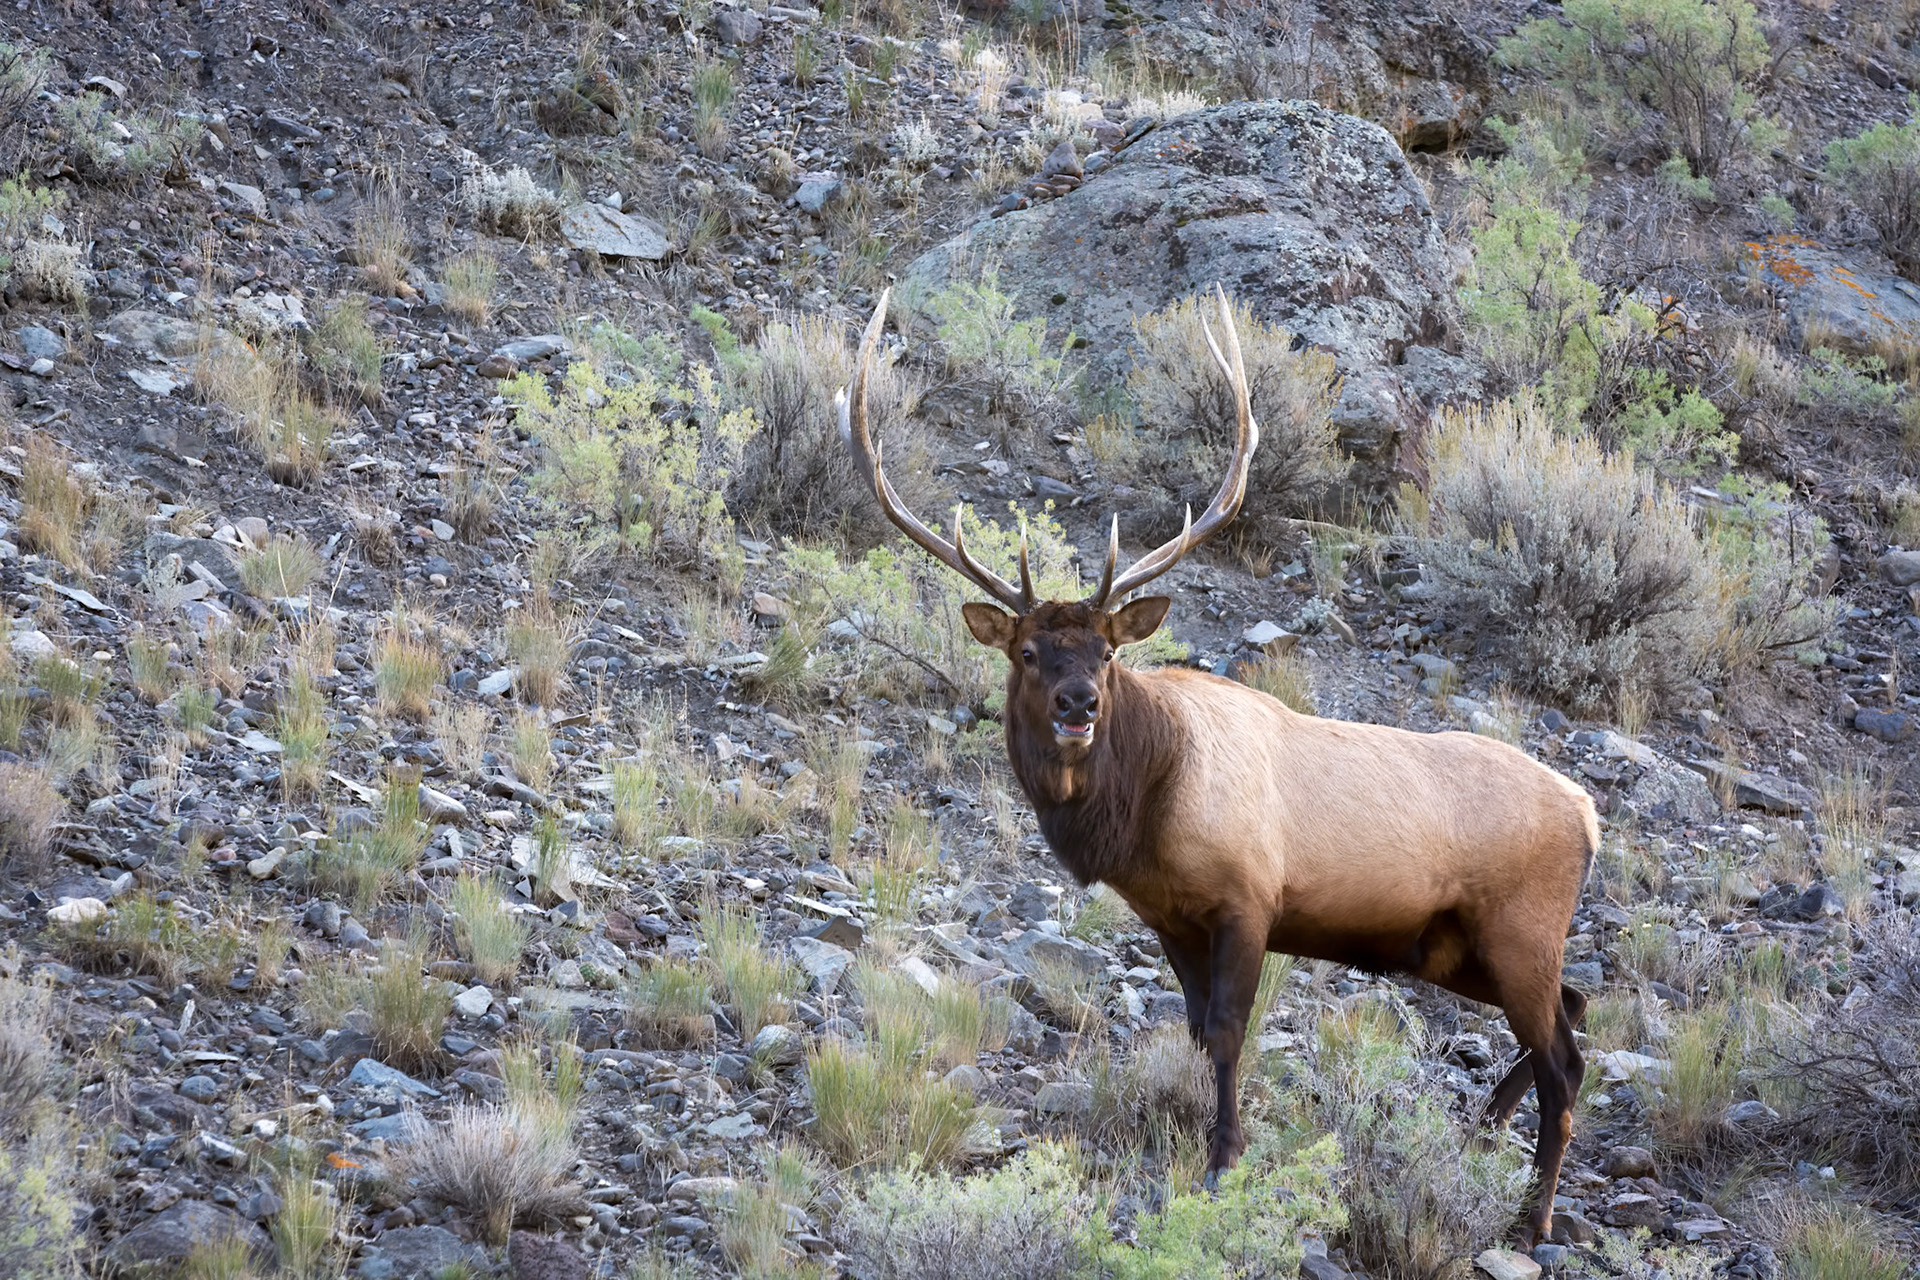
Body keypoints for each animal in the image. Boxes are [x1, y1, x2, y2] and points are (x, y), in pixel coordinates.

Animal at [837, 284, 1599, 1247]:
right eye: (1028, 652)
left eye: (1108, 653)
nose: (1079, 704)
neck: (1142, 816)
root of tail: (1590, 816)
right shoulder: (1169, 917)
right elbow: (1201, 1033)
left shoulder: (1250, 897)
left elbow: (1234, 1033)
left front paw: (1225, 1158)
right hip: (1455, 946)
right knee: (1574, 1009)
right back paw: (1486, 1130)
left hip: (1521, 926)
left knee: (1566, 1058)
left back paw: (1532, 1219)